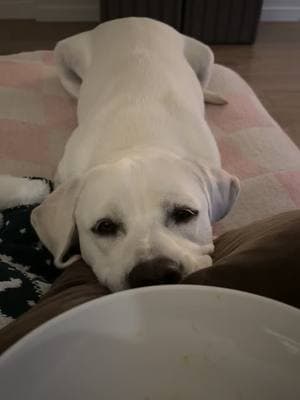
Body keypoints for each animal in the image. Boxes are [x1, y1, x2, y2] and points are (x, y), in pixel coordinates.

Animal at [29, 18, 239, 290]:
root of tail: (131, 19)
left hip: (205, 55)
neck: (137, 141)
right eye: (104, 226)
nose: (154, 274)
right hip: (63, 56)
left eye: (184, 214)